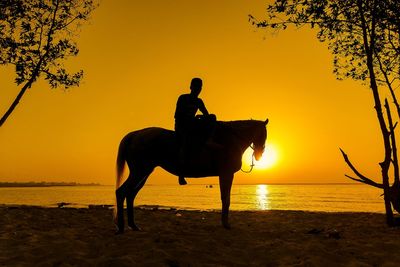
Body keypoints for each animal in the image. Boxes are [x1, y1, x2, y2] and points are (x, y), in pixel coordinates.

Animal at [113, 118, 268, 233]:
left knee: (130, 195)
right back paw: (121, 226)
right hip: (140, 172)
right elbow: (226, 199)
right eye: (264, 134)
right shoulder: (226, 174)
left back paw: (133, 226)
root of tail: (134, 135)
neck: (229, 139)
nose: (260, 154)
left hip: (143, 173)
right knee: (121, 192)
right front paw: (226, 224)